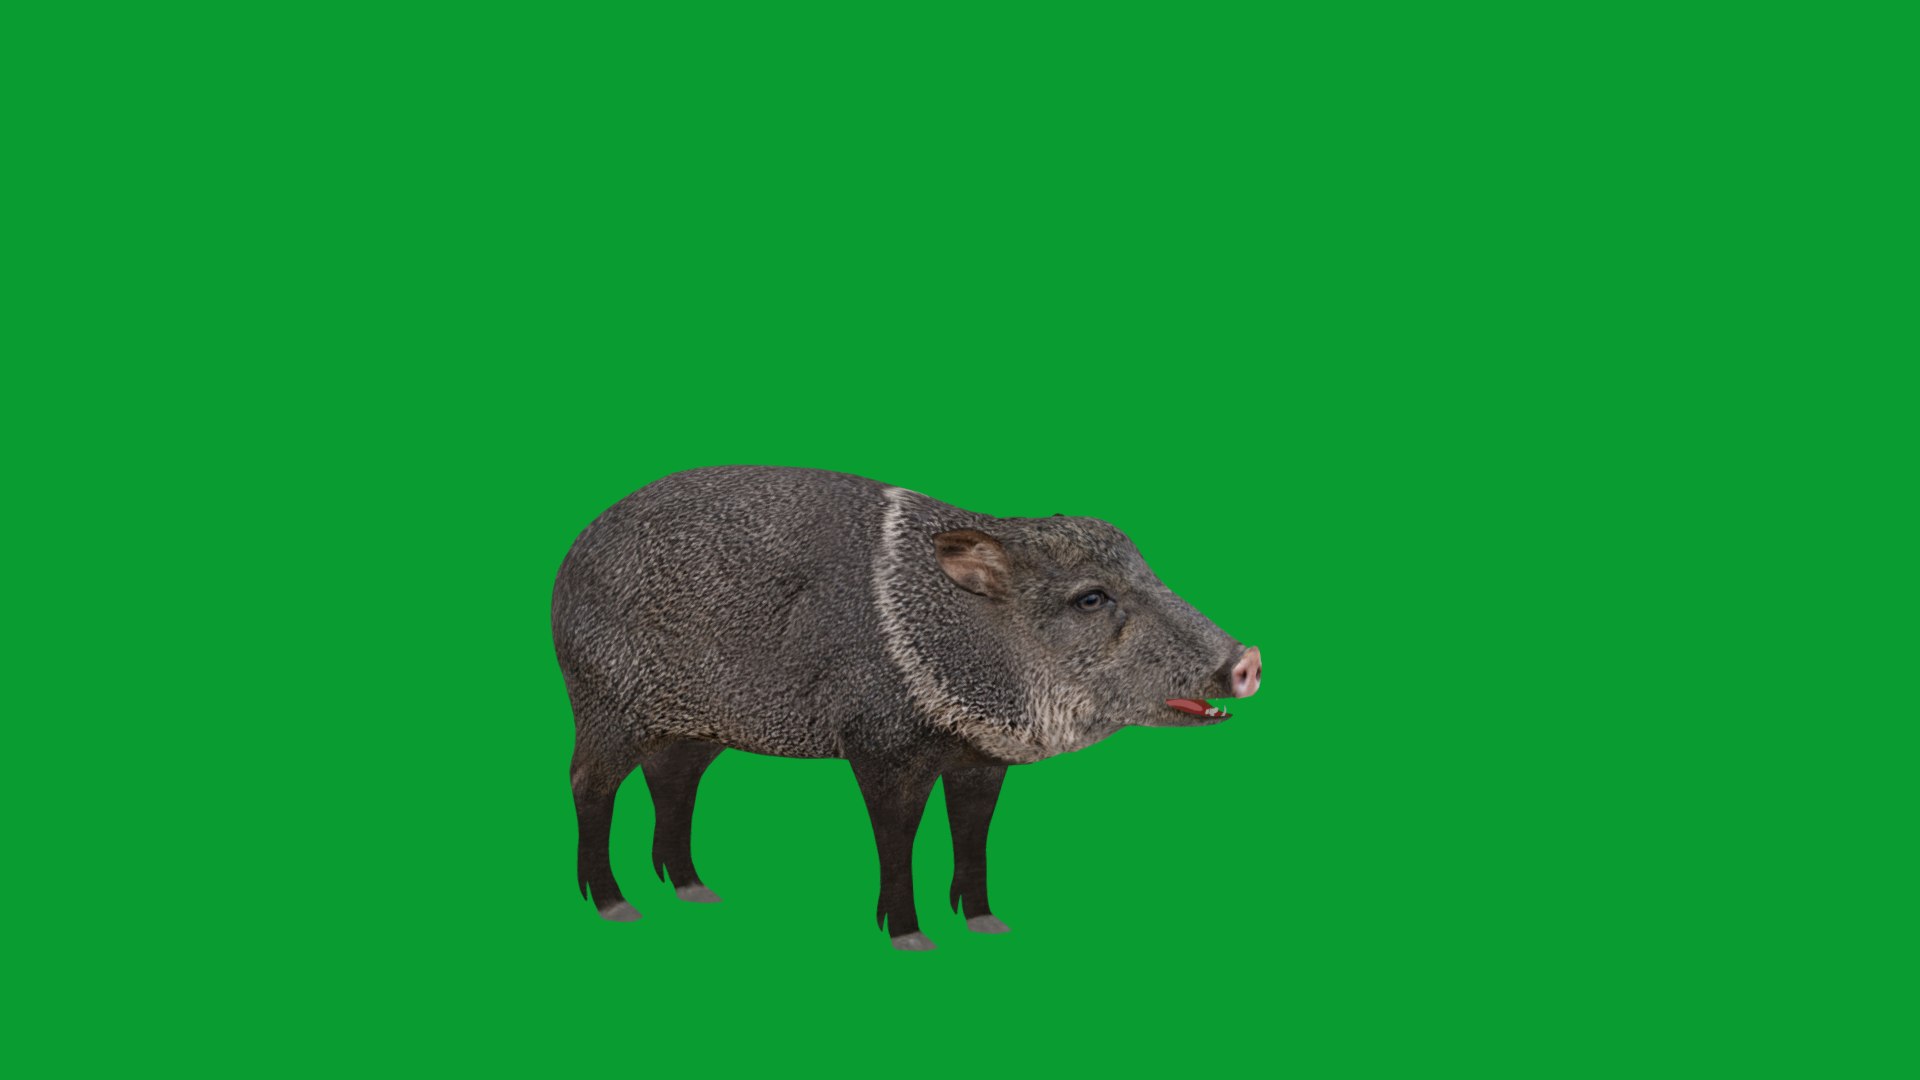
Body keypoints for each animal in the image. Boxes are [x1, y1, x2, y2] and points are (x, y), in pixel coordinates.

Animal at [552, 466, 1261, 950]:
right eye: (1090, 599)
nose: (1249, 661)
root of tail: (570, 558)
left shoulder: (980, 757)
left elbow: (973, 835)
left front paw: (987, 924)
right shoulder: (882, 748)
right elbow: (897, 838)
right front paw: (910, 937)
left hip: (694, 729)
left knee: (671, 783)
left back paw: (696, 891)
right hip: (608, 708)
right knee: (589, 785)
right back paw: (615, 904)